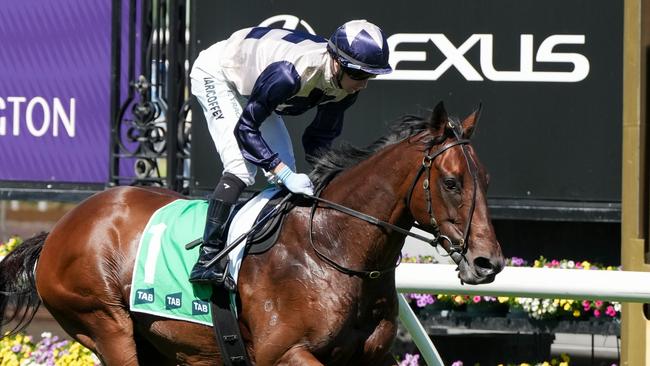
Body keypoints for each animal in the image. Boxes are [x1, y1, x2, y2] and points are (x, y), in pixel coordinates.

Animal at [1, 101, 502, 364]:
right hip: (106, 325)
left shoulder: (374, 356)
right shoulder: (284, 353)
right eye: (452, 182)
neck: (333, 248)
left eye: (487, 179)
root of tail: (59, 230)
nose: (488, 262)